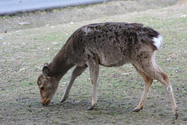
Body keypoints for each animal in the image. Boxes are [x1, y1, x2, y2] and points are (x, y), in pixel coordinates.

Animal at [36, 22, 178, 118]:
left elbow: (93, 79)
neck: (73, 54)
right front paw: (63, 98)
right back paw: (138, 107)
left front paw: (92, 105)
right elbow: (73, 74)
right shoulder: (83, 63)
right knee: (149, 79)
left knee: (164, 76)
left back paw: (175, 112)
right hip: (138, 61)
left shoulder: (91, 57)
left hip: (143, 58)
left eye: (42, 87)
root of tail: (156, 38)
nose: (43, 103)